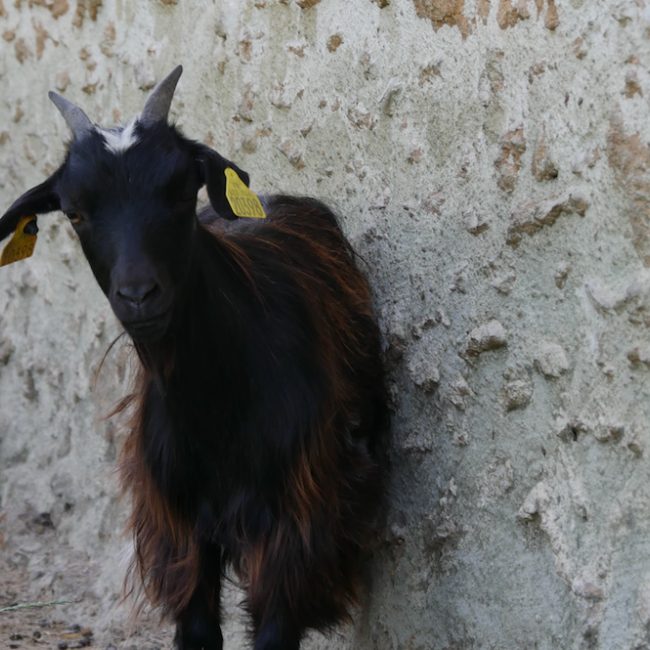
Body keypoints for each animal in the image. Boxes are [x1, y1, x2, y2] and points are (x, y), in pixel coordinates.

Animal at [0, 66, 387, 650]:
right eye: (74, 211)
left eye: (182, 191)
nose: (139, 294)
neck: (217, 407)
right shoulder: (179, 530)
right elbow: (199, 629)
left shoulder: (294, 526)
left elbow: (274, 631)